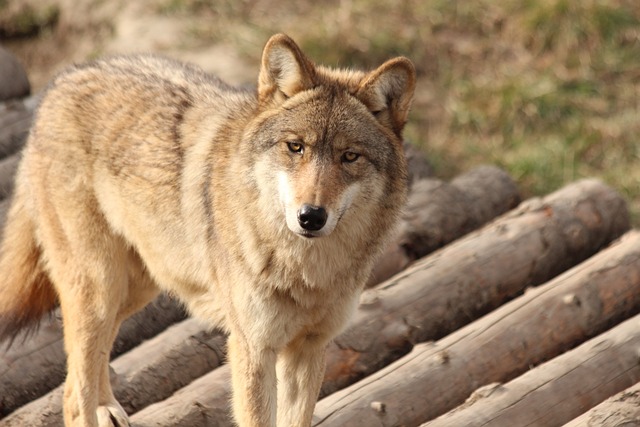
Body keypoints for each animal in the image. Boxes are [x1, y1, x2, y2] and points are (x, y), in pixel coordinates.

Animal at [0, 34, 416, 427]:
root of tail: (60, 82)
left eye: (350, 156)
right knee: (73, 394)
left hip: (136, 288)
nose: (310, 216)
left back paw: (107, 409)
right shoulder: (253, 348)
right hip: (101, 289)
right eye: (295, 147)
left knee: (84, 368)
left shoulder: (308, 348)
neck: (306, 272)